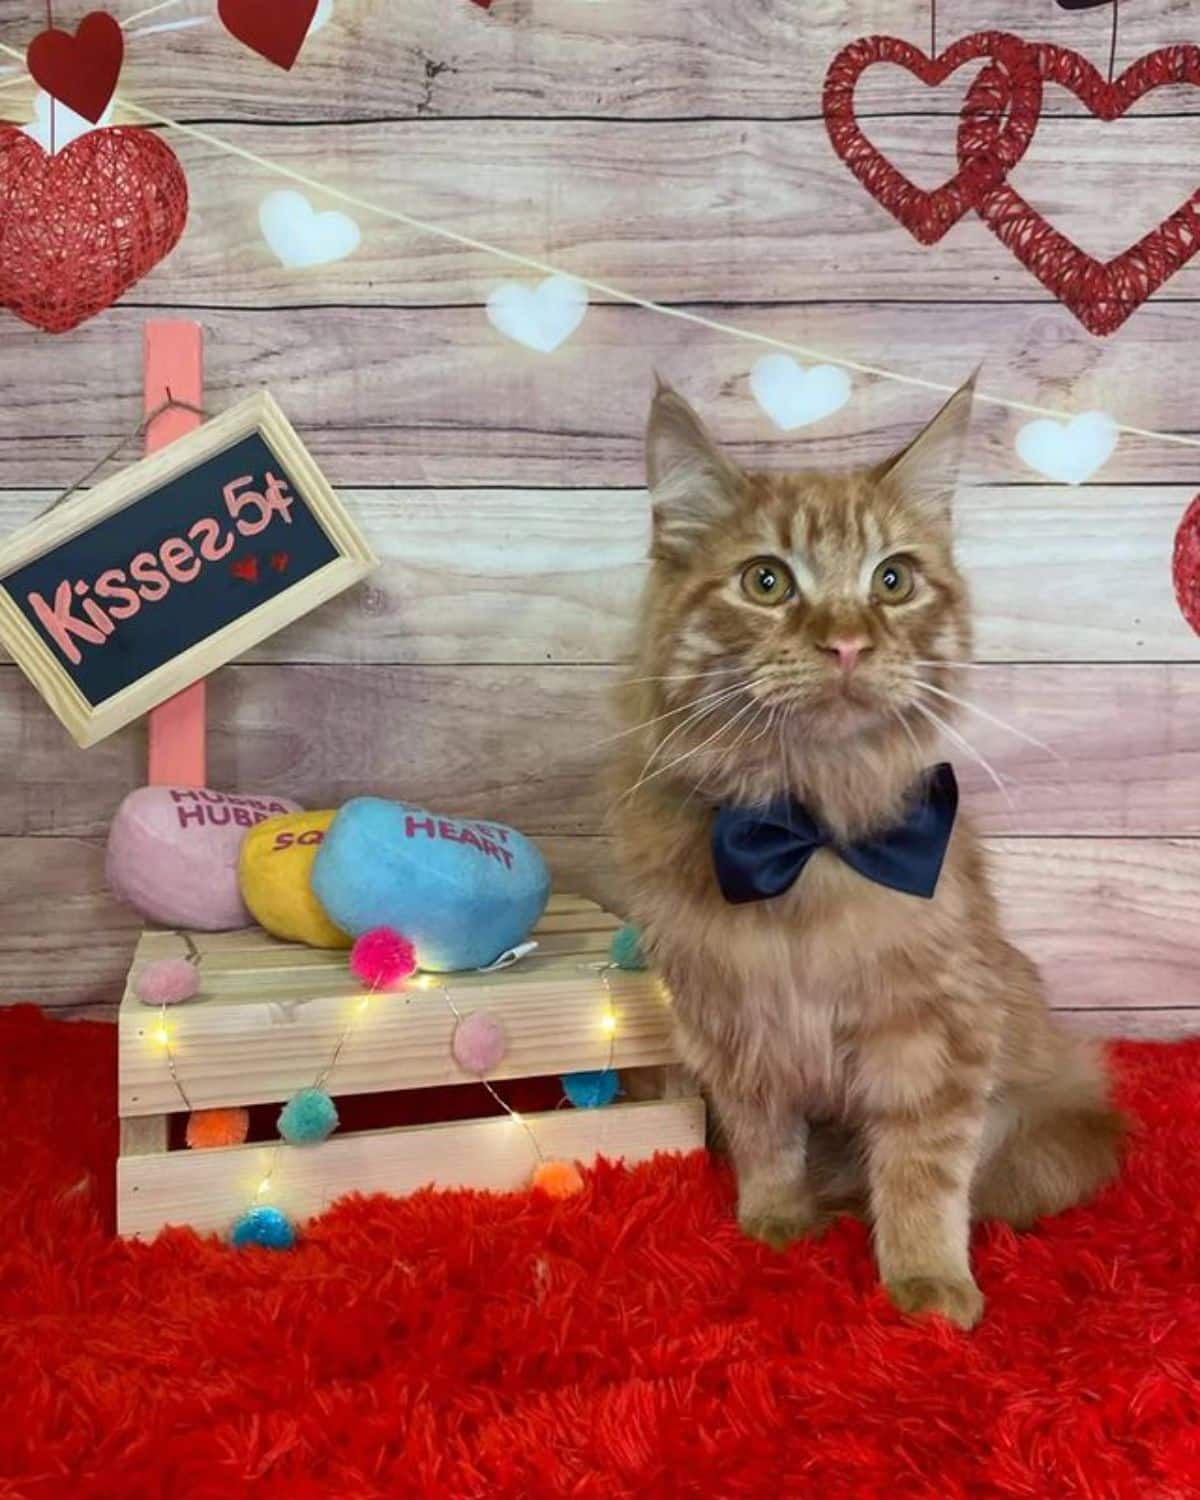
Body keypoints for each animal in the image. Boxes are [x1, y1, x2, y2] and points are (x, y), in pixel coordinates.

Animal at [615, 375, 1122, 1326]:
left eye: (893, 580)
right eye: (767, 581)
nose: (847, 641)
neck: (808, 833)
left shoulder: (936, 1035)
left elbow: (923, 1172)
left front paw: (928, 1283)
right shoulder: (733, 1023)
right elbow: (764, 1136)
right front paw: (775, 1220)